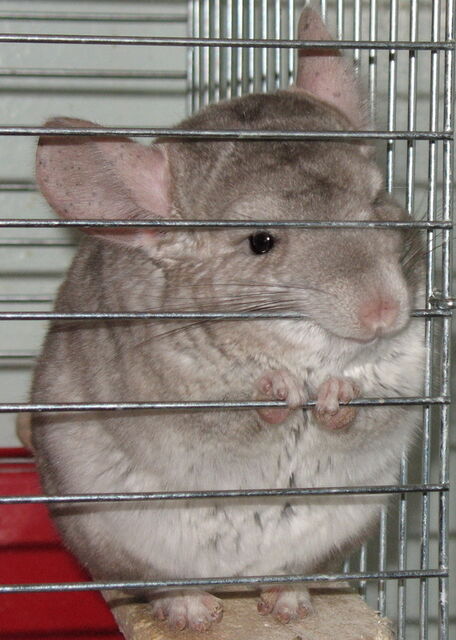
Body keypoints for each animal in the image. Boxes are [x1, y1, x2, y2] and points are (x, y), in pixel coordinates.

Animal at [31, 8, 425, 632]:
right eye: (260, 241)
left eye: (376, 202)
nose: (384, 312)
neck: (306, 351)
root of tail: (236, 581)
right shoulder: (179, 398)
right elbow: (237, 416)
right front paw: (282, 390)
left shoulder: (410, 369)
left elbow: (371, 406)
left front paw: (336, 394)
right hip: (115, 542)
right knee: (159, 585)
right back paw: (193, 611)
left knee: (288, 577)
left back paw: (287, 602)